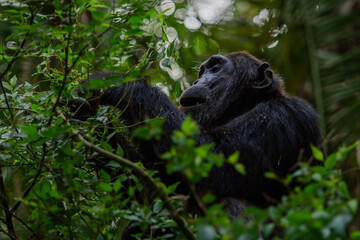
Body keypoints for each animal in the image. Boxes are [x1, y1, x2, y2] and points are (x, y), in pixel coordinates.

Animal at [73, 52, 324, 218]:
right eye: (202, 71)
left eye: (215, 69)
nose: (197, 80)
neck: (247, 105)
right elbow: (152, 193)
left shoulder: (280, 118)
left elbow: (210, 160)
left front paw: (109, 81)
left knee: (230, 202)